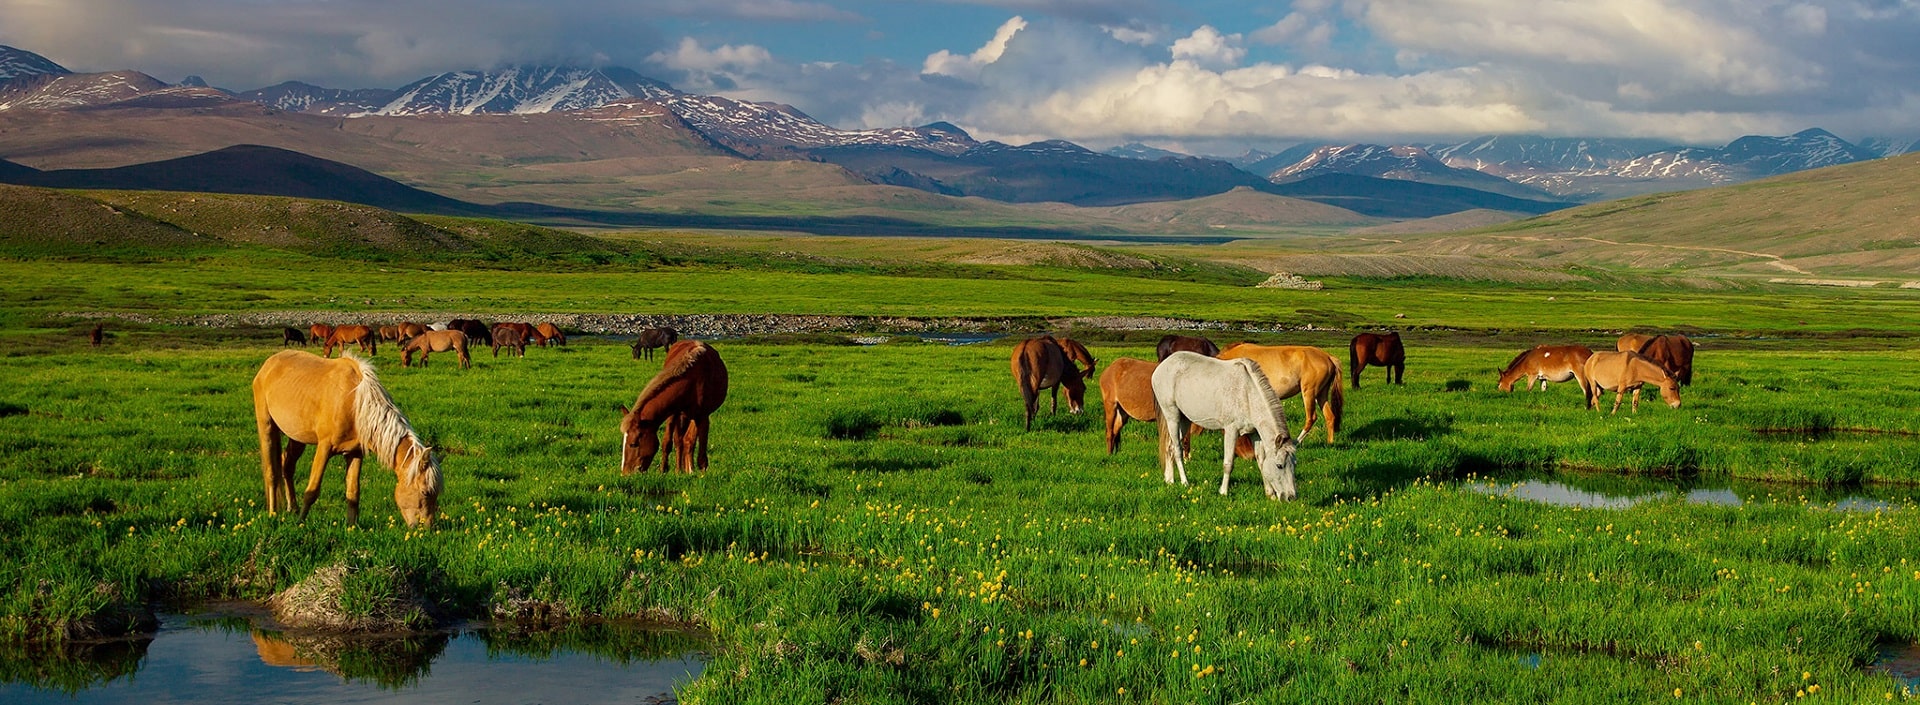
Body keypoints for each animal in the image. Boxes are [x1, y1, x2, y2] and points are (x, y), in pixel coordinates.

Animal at [247, 351, 439, 526]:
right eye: (425, 492)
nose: (427, 528)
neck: (355, 403)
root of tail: (268, 364)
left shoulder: (355, 453)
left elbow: (353, 492)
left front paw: (351, 528)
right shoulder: (324, 448)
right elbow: (312, 491)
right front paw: (300, 523)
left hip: (297, 437)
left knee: (287, 466)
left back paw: (292, 508)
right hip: (266, 425)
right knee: (271, 471)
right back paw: (273, 513)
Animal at [618, 341, 729, 474]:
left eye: (633, 444)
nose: (625, 473)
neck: (692, 380)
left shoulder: (703, 416)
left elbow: (699, 449)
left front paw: (701, 473)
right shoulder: (673, 413)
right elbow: (668, 442)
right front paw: (664, 470)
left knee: (688, 440)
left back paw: (688, 469)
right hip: (682, 415)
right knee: (679, 440)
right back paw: (679, 469)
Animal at [1152, 353, 1305, 503]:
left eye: (1295, 464)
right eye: (1279, 465)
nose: (1291, 497)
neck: (1247, 393)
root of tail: (1162, 366)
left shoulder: (1255, 433)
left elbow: (1261, 461)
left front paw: (1270, 494)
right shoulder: (1231, 430)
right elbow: (1228, 463)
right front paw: (1223, 492)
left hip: (1184, 420)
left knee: (1170, 447)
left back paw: (1169, 480)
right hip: (1172, 416)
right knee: (1177, 450)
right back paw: (1185, 482)